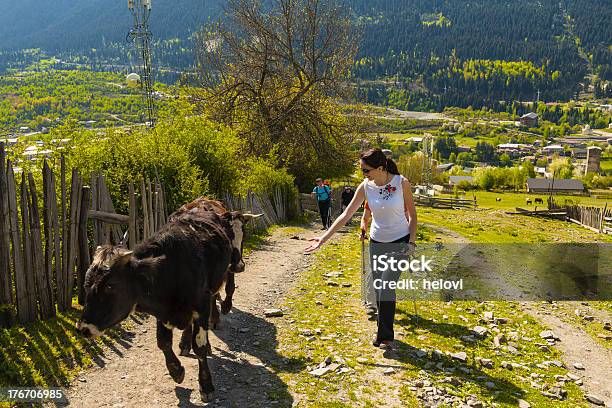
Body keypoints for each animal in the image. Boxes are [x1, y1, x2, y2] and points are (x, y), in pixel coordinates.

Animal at [79, 209, 244, 400]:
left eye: (110, 285)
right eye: (86, 284)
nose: (84, 328)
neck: (171, 271)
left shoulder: (201, 306)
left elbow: (200, 347)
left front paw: (206, 385)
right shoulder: (162, 312)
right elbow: (163, 343)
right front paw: (176, 370)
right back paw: (184, 343)